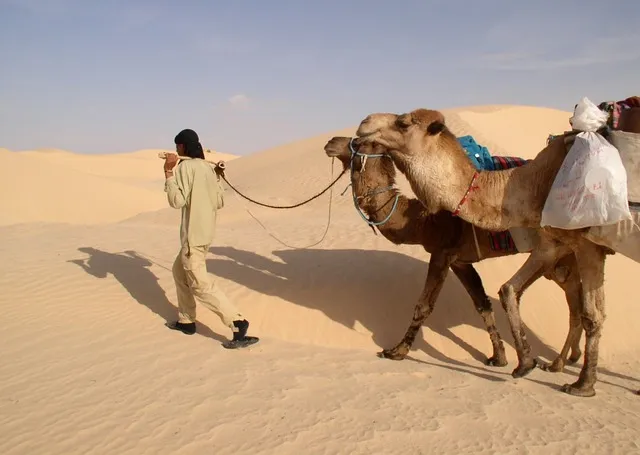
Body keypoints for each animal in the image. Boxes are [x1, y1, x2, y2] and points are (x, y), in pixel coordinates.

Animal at [324, 137, 584, 372]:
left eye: (359, 142)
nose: (331, 142)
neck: (422, 220)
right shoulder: (460, 261)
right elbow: (482, 304)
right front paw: (498, 357)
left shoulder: (442, 252)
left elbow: (423, 305)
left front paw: (397, 351)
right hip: (563, 259)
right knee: (577, 301)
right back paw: (568, 361)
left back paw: (562, 366)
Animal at [356, 108, 640, 398]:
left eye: (403, 123)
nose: (364, 124)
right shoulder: (550, 245)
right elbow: (501, 293)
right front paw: (518, 362)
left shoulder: (585, 244)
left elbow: (592, 314)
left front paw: (583, 385)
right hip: (562, 266)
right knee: (572, 303)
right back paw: (560, 363)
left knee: (578, 308)